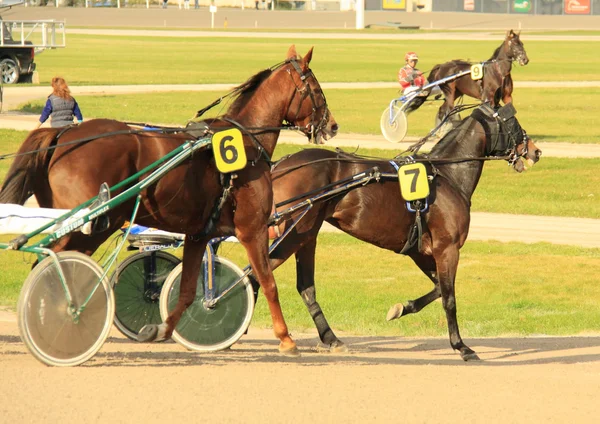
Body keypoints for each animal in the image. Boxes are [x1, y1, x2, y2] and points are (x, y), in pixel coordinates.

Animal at [0, 44, 338, 356]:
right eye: (316, 89)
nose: (333, 125)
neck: (247, 143)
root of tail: (63, 136)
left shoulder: (199, 233)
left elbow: (188, 290)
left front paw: (160, 328)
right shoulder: (251, 228)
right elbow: (267, 281)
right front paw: (286, 339)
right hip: (92, 224)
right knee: (53, 264)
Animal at [260, 104, 540, 360]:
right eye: (513, 122)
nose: (535, 150)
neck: (447, 176)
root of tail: (280, 165)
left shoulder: (420, 251)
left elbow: (438, 289)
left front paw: (400, 308)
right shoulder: (447, 248)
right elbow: (449, 298)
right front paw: (461, 346)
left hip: (307, 235)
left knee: (304, 287)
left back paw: (331, 339)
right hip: (293, 234)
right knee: (262, 274)